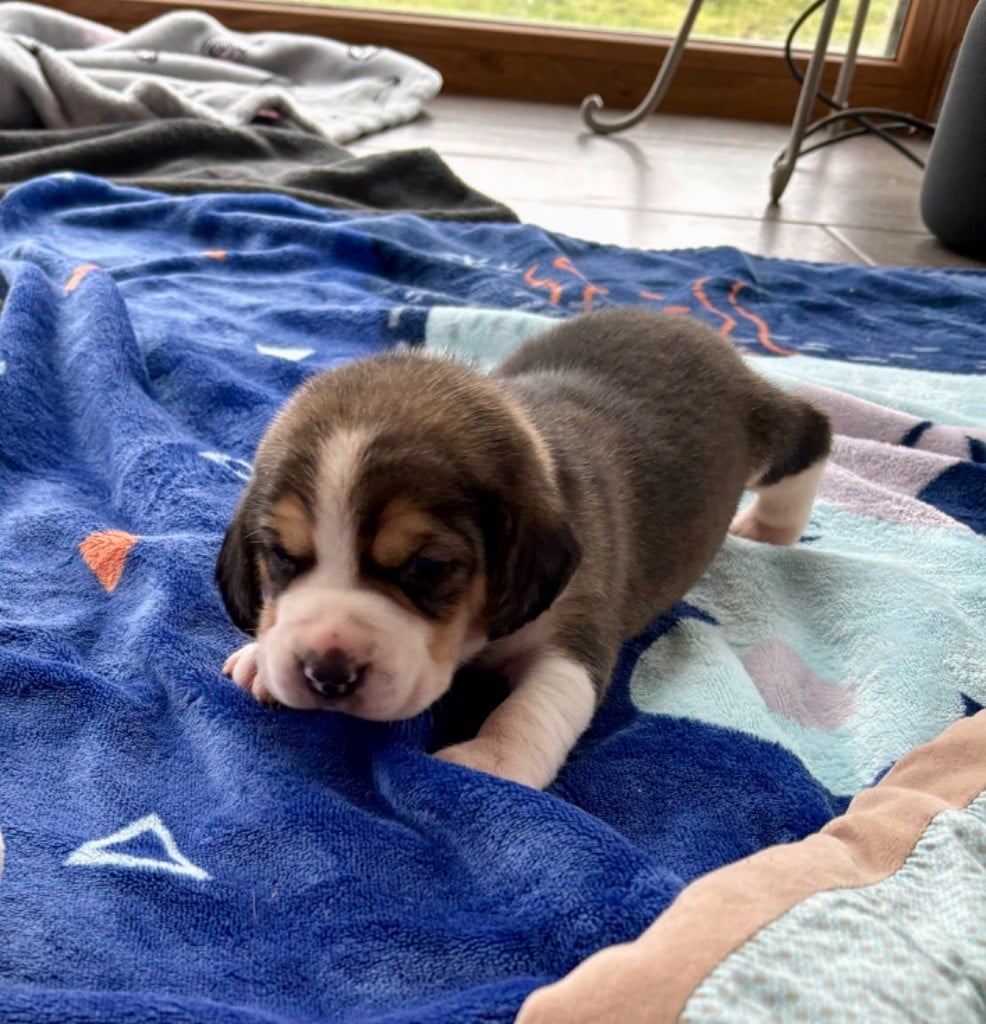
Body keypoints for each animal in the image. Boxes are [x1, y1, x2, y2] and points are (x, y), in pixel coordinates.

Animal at [216, 308, 830, 789]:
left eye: (426, 567)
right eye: (282, 555)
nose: (328, 674)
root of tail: (692, 326)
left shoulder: (576, 633)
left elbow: (535, 706)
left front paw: (490, 761)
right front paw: (259, 661)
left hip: (767, 428)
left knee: (811, 432)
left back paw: (771, 527)